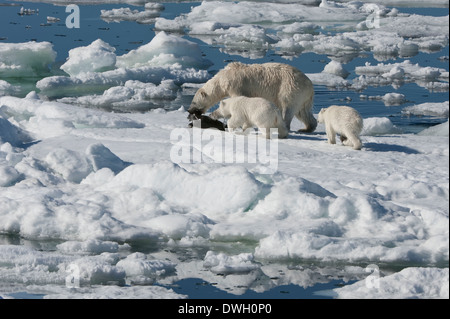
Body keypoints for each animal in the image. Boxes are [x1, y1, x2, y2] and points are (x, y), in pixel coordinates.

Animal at [187, 62, 316, 132]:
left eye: (193, 102)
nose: (189, 110)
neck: (222, 78)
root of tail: (309, 84)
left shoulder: (236, 85)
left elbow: (239, 98)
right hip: (303, 96)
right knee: (303, 112)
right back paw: (307, 128)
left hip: (290, 88)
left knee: (287, 108)